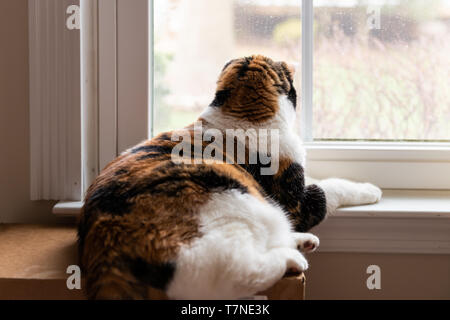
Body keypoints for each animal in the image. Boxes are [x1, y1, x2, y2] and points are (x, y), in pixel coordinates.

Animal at [76, 55, 380, 300]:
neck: (241, 114)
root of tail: (103, 235)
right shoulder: (295, 202)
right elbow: (330, 188)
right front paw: (371, 189)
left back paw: (301, 242)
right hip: (237, 203)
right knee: (240, 269)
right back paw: (291, 258)